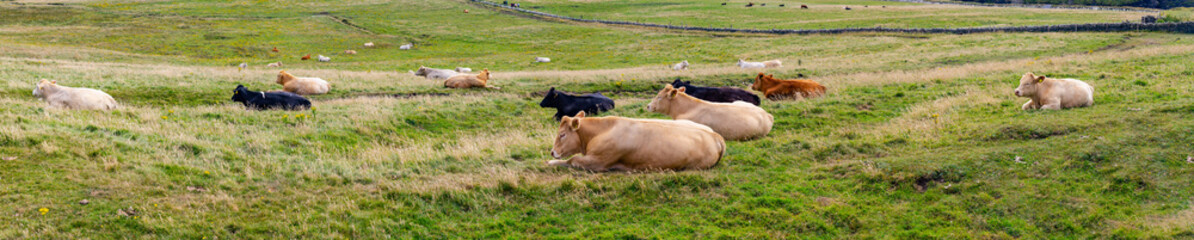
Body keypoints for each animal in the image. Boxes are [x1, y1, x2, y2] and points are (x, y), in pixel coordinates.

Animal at [546, 111, 721, 171]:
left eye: (562, 134)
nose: (552, 152)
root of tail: (714, 135)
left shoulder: (598, 161)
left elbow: (573, 159)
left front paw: (552, 162)